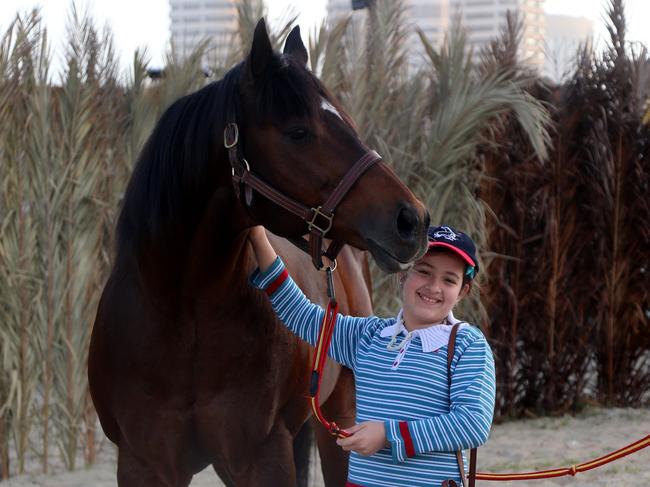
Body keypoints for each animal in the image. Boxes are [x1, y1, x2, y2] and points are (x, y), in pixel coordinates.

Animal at [87, 19, 430, 487]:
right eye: (298, 132)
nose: (412, 219)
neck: (181, 316)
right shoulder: (144, 465)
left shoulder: (262, 456)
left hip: (341, 416)